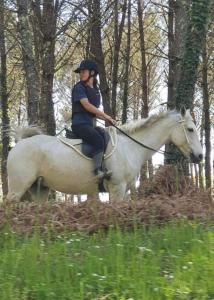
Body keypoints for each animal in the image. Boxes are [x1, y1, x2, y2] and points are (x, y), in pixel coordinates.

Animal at [6, 108, 202, 202]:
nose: (200, 156)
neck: (130, 147)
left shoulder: (124, 190)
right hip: (17, 188)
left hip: (40, 189)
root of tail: (19, 143)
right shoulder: (117, 188)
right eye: (190, 129)